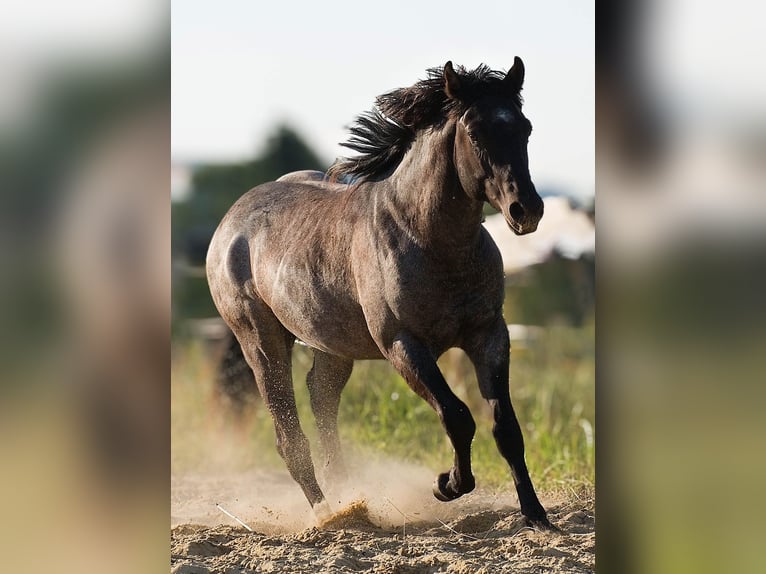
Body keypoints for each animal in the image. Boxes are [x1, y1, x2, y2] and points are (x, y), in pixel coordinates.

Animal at [206, 59, 552, 532]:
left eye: (525, 128)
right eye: (475, 132)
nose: (527, 210)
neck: (431, 240)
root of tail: (231, 221)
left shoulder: (489, 335)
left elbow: (506, 427)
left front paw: (536, 516)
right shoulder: (403, 344)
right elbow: (458, 416)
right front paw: (447, 485)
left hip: (332, 345)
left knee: (321, 398)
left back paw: (350, 495)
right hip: (261, 340)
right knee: (289, 435)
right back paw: (331, 513)